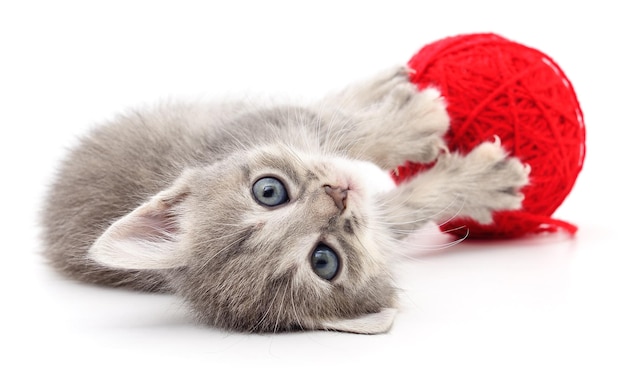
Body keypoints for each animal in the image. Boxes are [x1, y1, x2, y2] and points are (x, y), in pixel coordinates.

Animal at [40, 67, 528, 332]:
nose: (337, 195)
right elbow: (397, 196)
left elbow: (345, 124)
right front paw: (476, 173)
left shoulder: (260, 124)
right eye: (324, 261)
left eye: (267, 191)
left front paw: (404, 123)